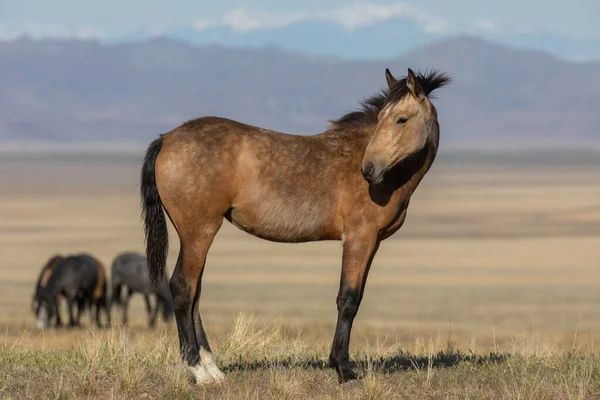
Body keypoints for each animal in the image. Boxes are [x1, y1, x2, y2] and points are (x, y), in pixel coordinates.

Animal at [141, 68, 450, 384]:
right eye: (382, 119)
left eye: (401, 119)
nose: (369, 169)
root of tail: (166, 139)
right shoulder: (358, 238)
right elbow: (348, 299)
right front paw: (343, 368)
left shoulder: (371, 243)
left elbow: (357, 297)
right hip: (199, 233)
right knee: (182, 287)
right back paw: (198, 371)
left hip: (196, 236)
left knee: (195, 295)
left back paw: (213, 369)